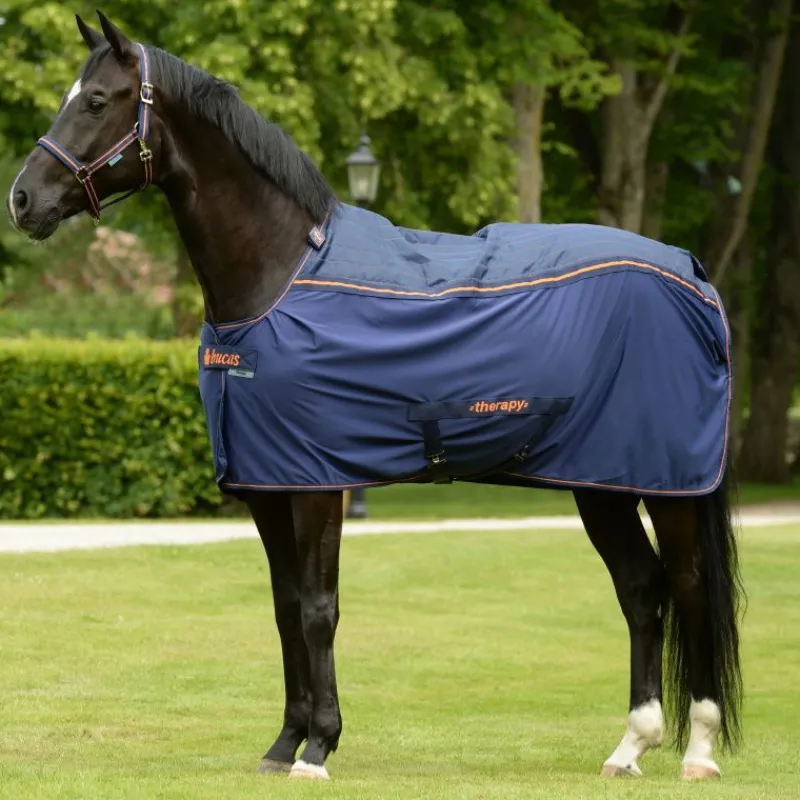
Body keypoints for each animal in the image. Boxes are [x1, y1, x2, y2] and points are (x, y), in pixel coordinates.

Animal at [6, 11, 742, 783]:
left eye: (96, 101)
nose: (22, 200)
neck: (276, 276)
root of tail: (693, 275)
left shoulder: (318, 483)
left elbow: (318, 609)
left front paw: (318, 748)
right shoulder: (268, 484)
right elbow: (284, 608)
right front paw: (282, 745)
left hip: (667, 485)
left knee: (689, 587)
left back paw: (698, 750)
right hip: (601, 482)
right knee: (642, 589)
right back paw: (630, 746)